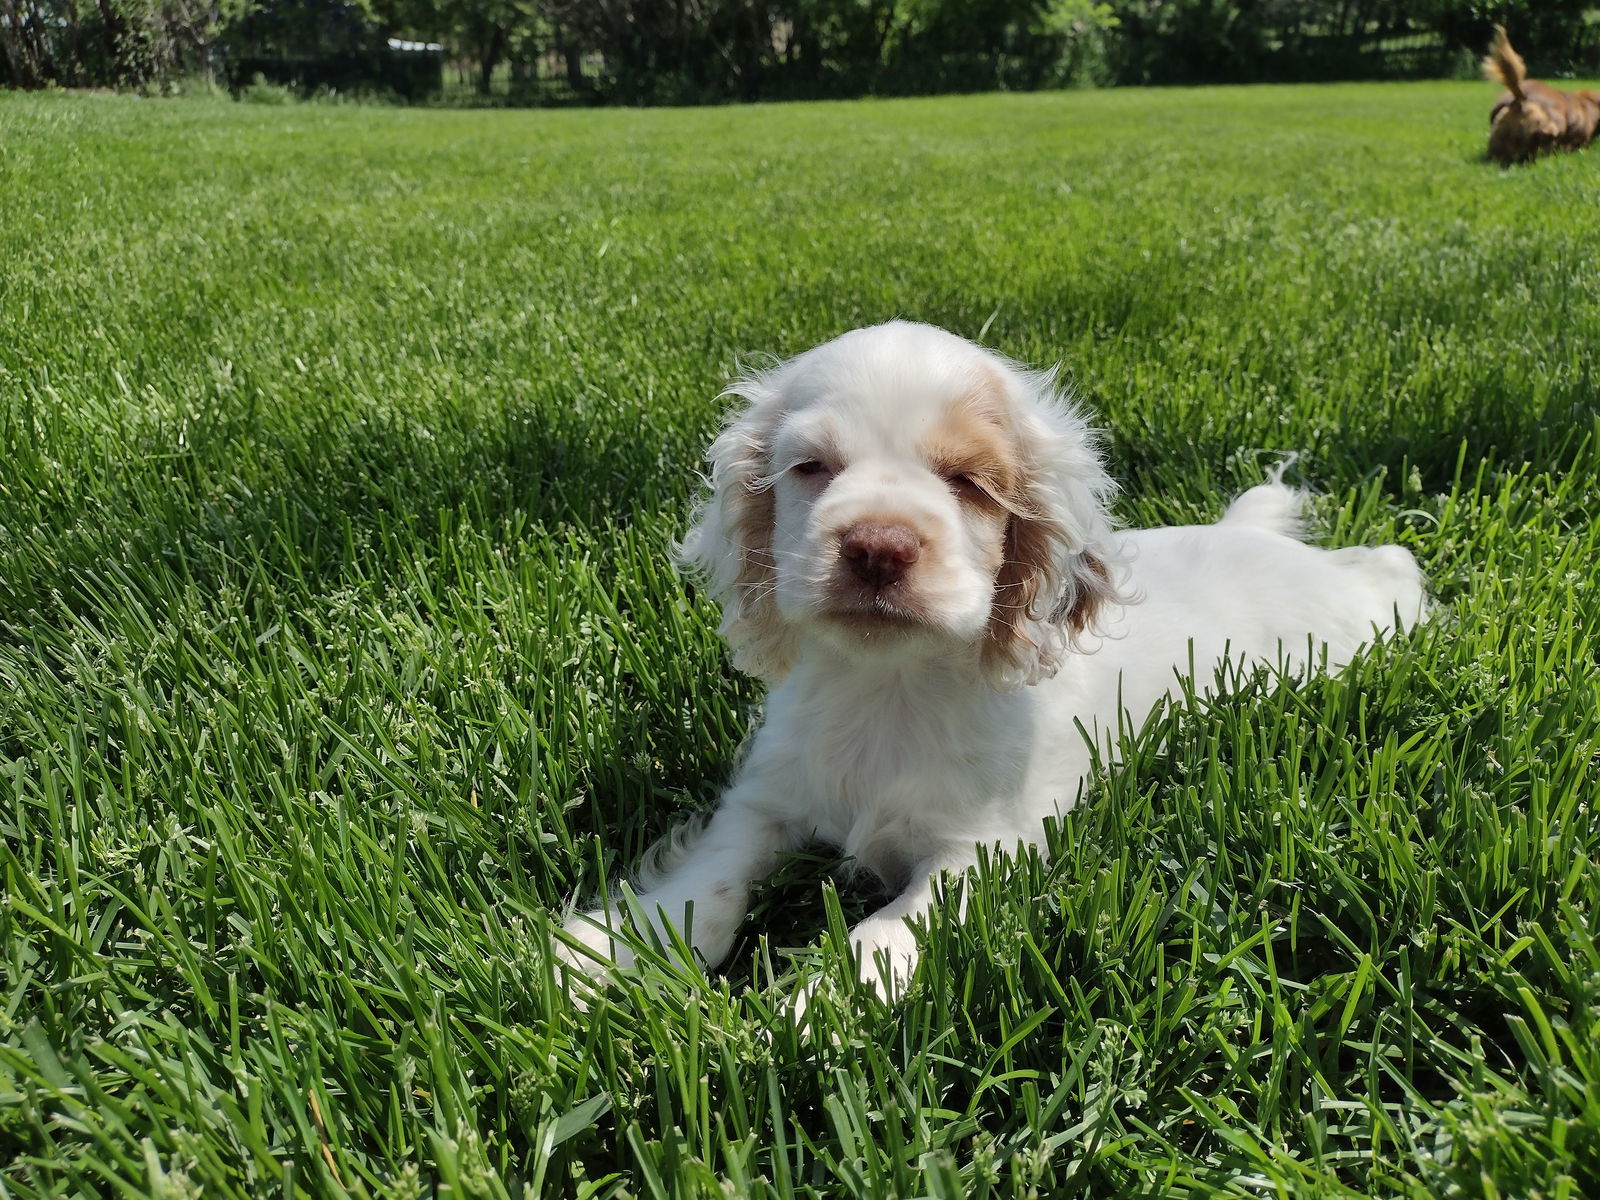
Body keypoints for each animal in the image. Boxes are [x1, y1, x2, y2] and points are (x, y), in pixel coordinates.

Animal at [563, 321, 1427, 1004]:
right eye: (811, 468)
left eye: (969, 482)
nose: (878, 545)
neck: (890, 685)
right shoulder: (765, 799)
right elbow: (706, 884)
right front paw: (609, 952)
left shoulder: (979, 849)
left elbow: (883, 932)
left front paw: (818, 1011)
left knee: (1388, 572)